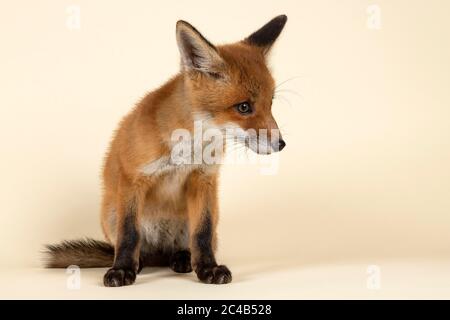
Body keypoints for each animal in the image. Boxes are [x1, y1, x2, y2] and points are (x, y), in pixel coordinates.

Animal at [44, 14, 288, 288]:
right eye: (244, 107)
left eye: (270, 103)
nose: (281, 144)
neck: (188, 149)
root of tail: (159, 252)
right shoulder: (133, 178)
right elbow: (129, 234)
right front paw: (121, 269)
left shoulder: (203, 180)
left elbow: (201, 234)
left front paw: (208, 268)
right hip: (111, 213)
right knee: (136, 248)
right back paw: (137, 263)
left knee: (185, 246)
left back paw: (182, 259)